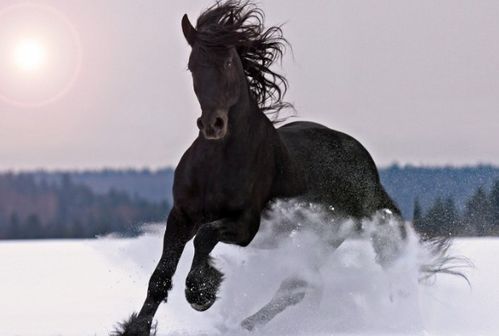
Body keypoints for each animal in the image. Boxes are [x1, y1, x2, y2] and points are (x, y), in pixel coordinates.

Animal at [115, 1, 408, 334]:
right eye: (192, 65)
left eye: (229, 62)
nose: (213, 124)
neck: (217, 163)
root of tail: (368, 171)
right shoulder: (181, 216)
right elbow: (160, 276)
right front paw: (136, 328)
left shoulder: (246, 225)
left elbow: (205, 237)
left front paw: (201, 292)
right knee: (300, 286)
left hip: (324, 238)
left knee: (294, 287)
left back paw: (241, 325)